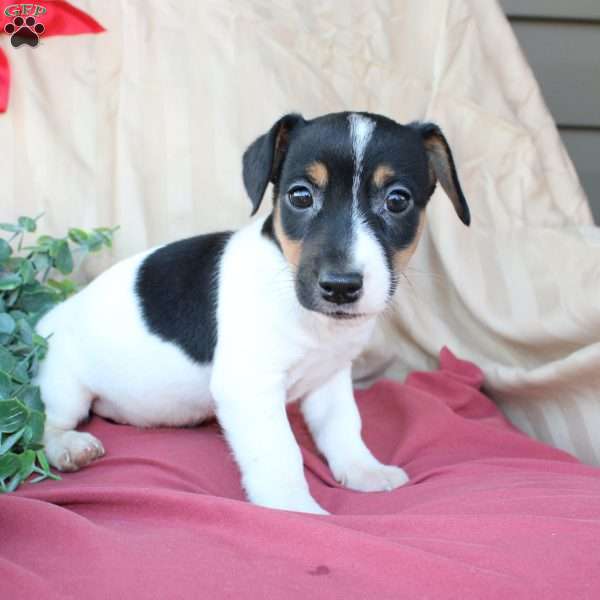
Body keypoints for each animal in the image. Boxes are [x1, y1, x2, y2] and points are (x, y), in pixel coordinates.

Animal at [35, 112, 472, 516]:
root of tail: (49, 319)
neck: (306, 315)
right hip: (65, 386)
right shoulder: (250, 388)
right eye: (300, 196)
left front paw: (363, 468)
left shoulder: (329, 379)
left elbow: (343, 426)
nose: (340, 286)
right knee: (50, 422)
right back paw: (69, 445)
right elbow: (280, 452)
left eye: (397, 200)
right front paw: (294, 507)